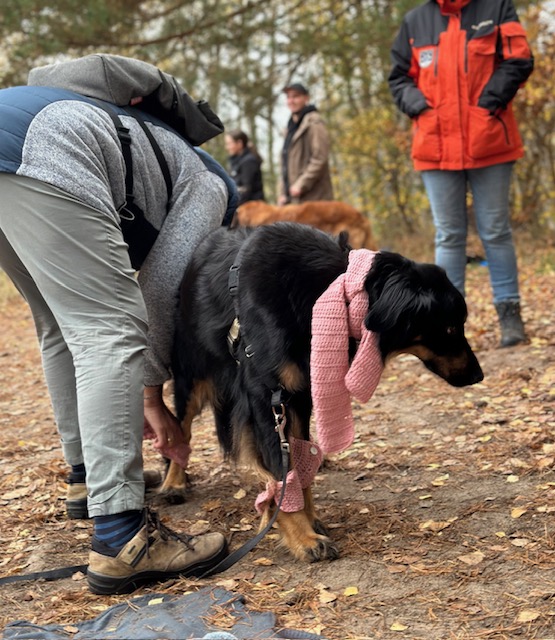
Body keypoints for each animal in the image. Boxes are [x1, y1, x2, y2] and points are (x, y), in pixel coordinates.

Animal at [163, 222, 484, 564]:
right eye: (450, 328)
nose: (478, 375)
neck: (322, 290)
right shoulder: (266, 396)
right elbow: (281, 466)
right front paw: (302, 537)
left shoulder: (300, 396)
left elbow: (299, 461)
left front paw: (304, 518)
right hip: (191, 375)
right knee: (181, 426)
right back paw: (174, 482)